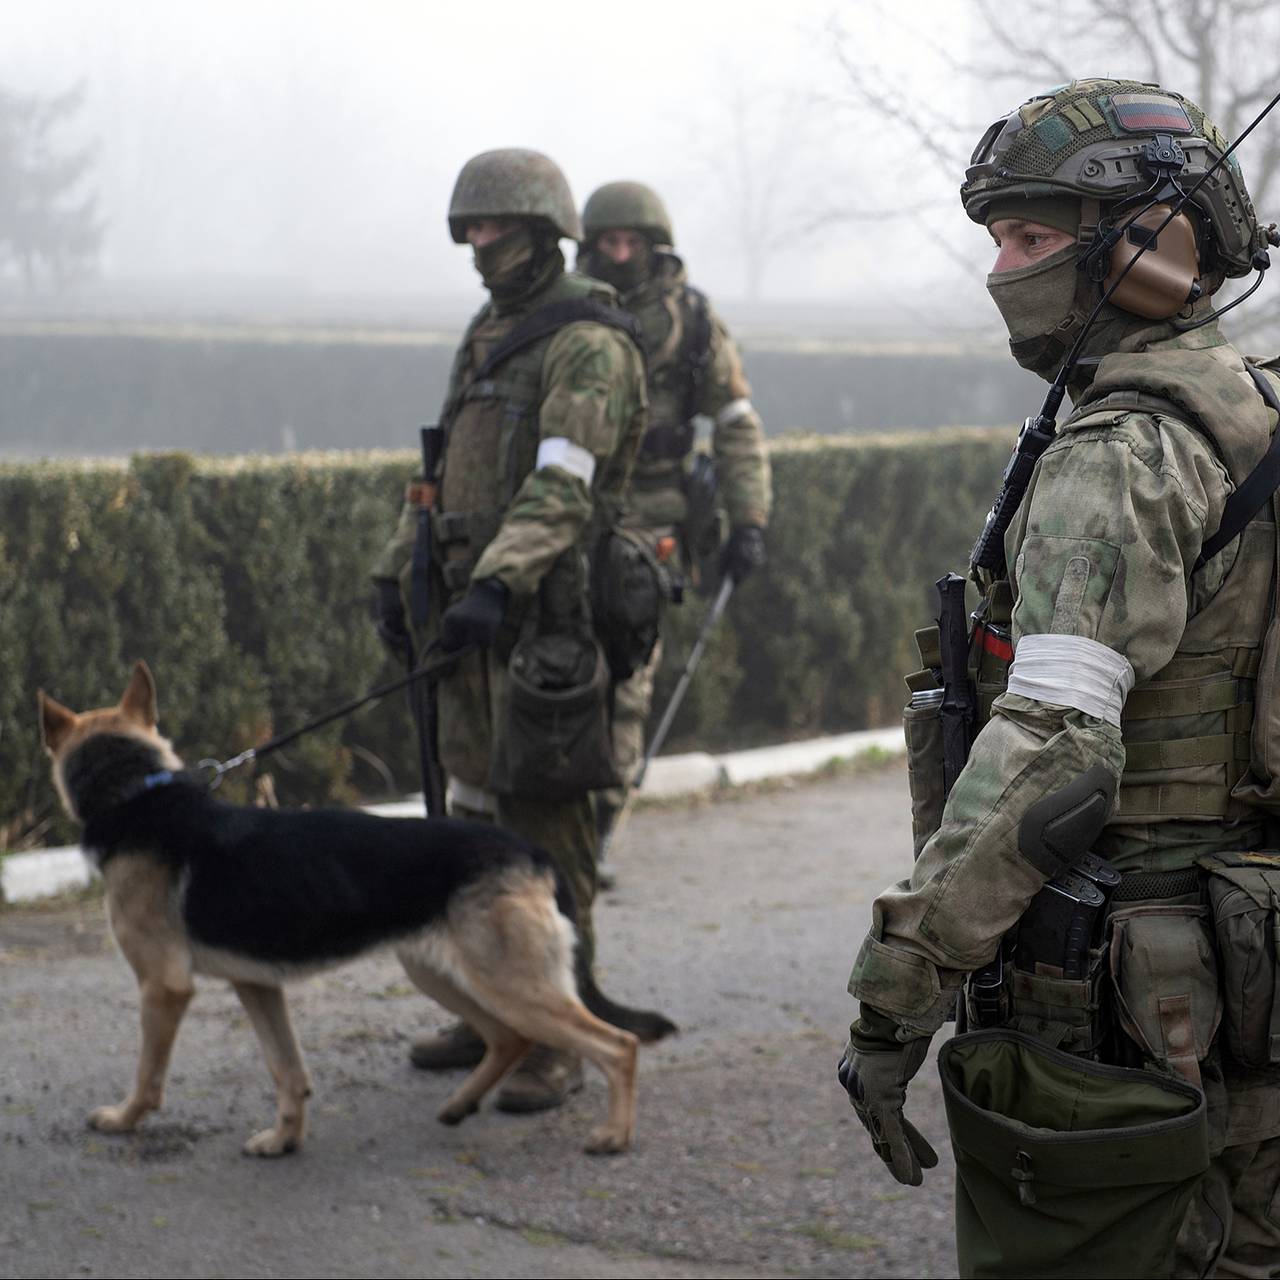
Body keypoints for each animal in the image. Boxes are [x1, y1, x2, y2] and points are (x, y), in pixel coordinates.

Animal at [35, 665, 675, 1157]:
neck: (136, 791)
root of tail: (531, 850)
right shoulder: (257, 986)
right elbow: (289, 1071)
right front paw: (284, 1140)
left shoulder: (162, 989)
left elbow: (149, 1075)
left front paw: (122, 1119)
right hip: (442, 973)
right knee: (508, 1038)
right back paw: (460, 1103)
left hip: (509, 982)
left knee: (617, 1045)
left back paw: (614, 1135)